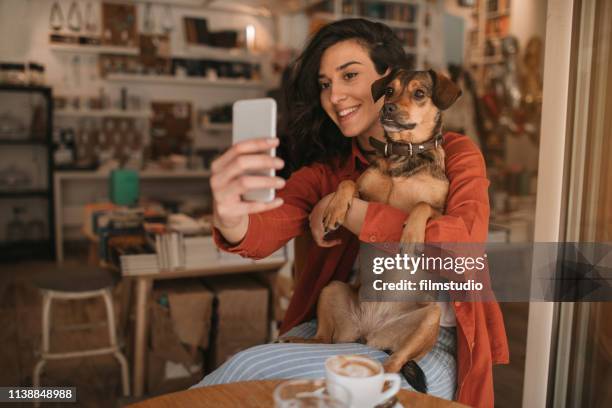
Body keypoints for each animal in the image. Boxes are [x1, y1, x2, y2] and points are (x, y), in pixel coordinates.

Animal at [284, 69, 462, 392]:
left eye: (419, 93)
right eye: (389, 90)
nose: (388, 108)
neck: (403, 154)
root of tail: (370, 333)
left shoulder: (444, 213)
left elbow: (421, 205)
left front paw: (411, 235)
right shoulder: (364, 192)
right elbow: (347, 183)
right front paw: (334, 209)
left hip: (426, 319)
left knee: (395, 363)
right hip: (332, 289)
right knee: (323, 339)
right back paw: (296, 340)